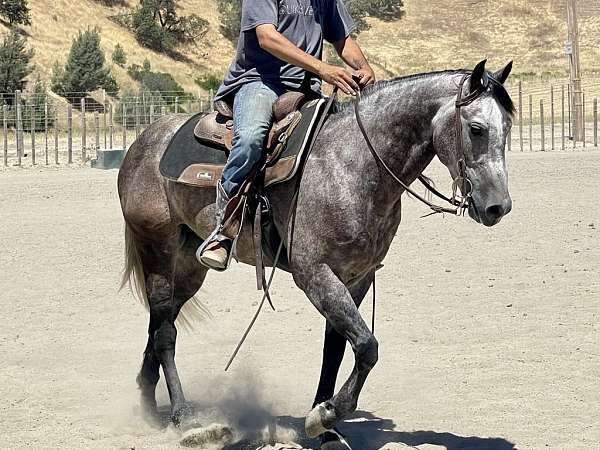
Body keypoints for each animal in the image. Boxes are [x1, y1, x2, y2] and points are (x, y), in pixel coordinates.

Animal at [118, 59, 516, 442]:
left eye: (508, 127)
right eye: (477, 128)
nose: (499, 207)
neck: (353, 164)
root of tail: (144, 141)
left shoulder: (357, 277)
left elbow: (337, 348)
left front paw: (326, 428)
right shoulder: (314, 274)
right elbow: (367, 346)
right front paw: (324, 415)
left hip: (188, 266)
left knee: (160, 322)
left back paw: (148, 404)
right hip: (157, 248)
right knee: (165, 333)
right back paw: (185, 418)